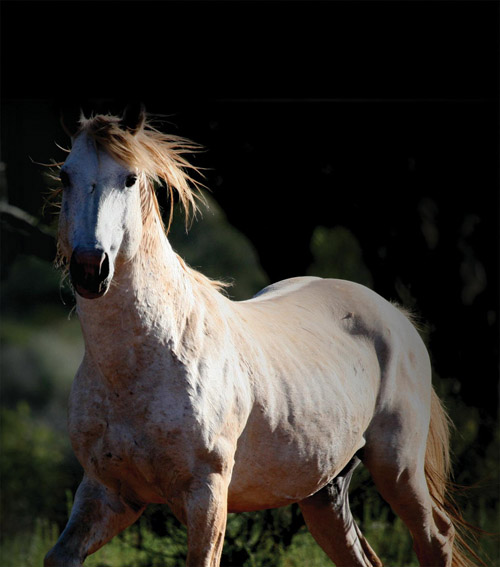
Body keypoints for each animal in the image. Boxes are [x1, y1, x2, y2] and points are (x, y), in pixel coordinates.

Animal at [45, 106, 478, 567]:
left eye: (130, 178)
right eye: (65, 176)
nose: (90, 269)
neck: (140, 365)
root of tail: (397, 315)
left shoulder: (207, 492)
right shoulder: (108, 492)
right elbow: (60, 555)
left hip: (397, 467)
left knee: (436, 536)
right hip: (326, 492)